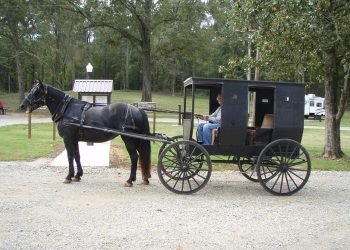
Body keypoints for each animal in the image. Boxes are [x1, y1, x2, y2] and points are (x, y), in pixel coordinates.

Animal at [19, 80, 150, 186]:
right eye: (31, 90)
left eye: (37, 92)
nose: (22, 105)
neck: (67, 110)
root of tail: (138, 109)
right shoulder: (74, 139)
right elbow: (77, 156)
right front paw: (78, 175)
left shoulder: (67, 138)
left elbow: (70, 156)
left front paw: (69, 176)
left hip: (128, 139)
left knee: (134, 157)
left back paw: (130, 180)